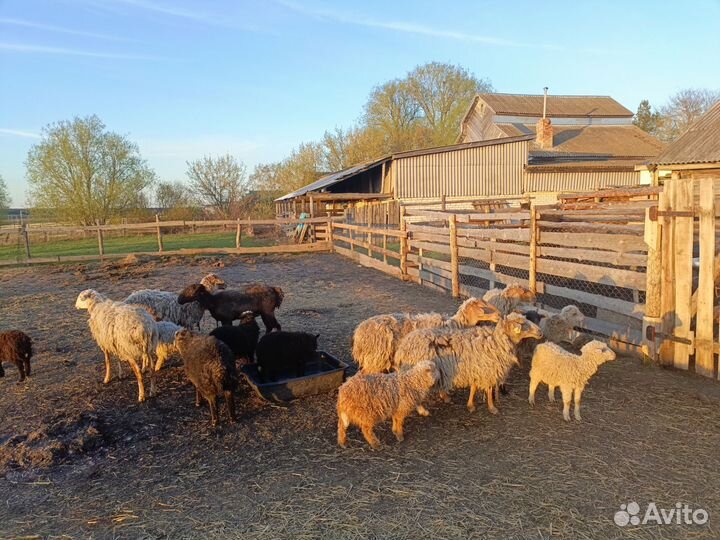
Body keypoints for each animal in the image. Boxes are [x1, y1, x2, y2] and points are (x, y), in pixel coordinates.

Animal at [395, 314, 543, 415]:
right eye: (521, 323)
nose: (540, 332)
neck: (496, 342)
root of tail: (402, 347)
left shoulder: (477, 369)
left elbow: (474, 387)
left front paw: (471, 405)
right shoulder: (487, 370)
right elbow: (489, 389)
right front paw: (492, 407)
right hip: (418, 372)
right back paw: (423, 410)